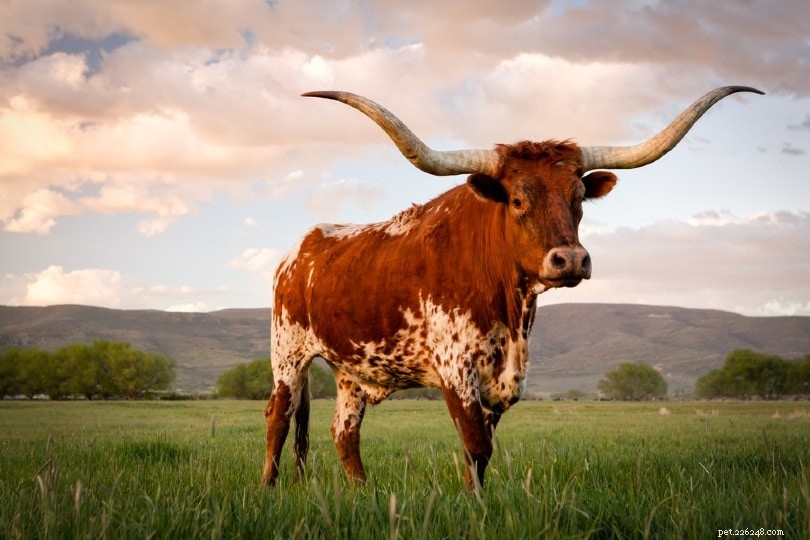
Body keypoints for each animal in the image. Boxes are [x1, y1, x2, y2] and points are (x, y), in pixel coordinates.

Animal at [262, 86, 762, 489]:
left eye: (579, 199)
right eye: (518, 200)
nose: (571, 259)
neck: (510, 308)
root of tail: (298, 250)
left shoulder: (504, 380)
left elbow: (482, 454)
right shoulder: (455, 369)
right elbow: (475, 446)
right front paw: (475, 508)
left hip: (351, 370)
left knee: (344, 433)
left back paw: (362, 492)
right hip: (288, 355)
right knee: (277, 420)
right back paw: (268, 490)